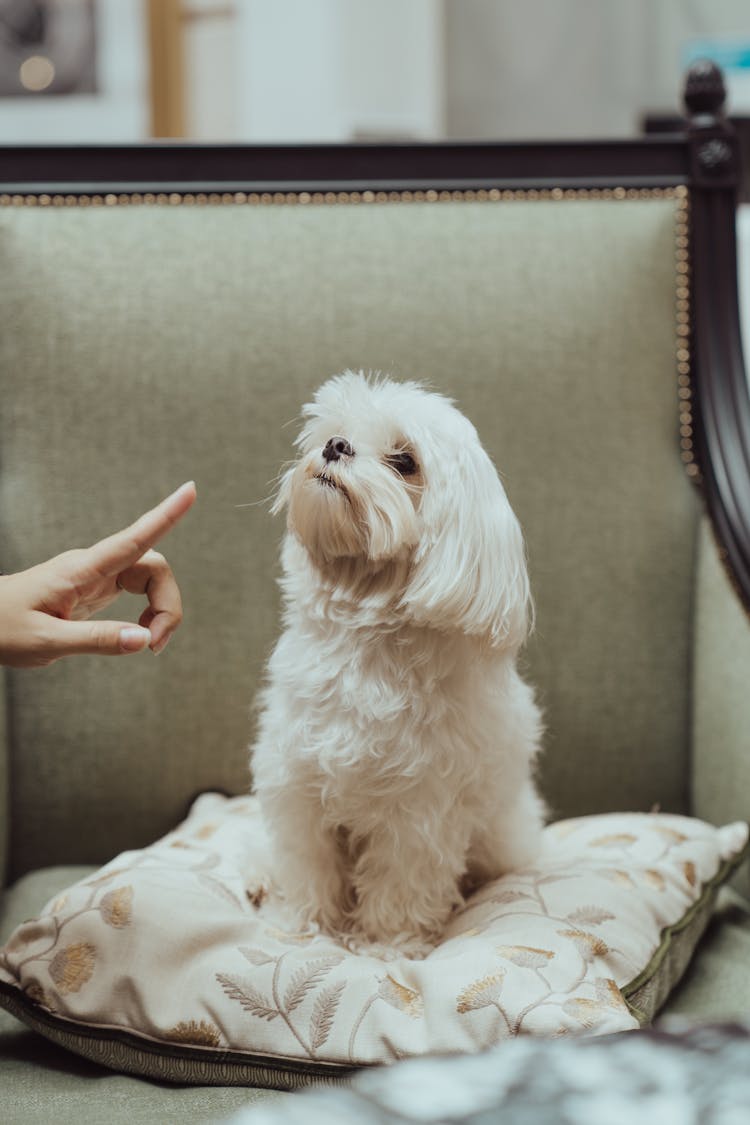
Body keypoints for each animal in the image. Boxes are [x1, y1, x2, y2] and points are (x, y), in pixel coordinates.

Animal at [251, 373, 546, 954]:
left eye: (405, 461)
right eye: (336, 430)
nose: (335, 446)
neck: (363, 647)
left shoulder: (419, 813)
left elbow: (401, 881)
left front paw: (387, 945)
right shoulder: (297, 781)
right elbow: (307, 863)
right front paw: (302, 923)